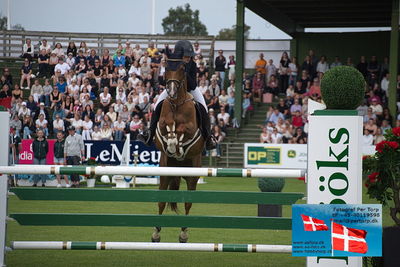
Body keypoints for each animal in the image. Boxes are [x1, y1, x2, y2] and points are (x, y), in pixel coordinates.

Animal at [152, 59, 205, 244]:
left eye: (183, 69)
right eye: (166, 68)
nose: (172, 92)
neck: (177, 104)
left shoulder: (191, 127)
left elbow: (182, 128)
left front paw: (176, 143)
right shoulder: (161, 123)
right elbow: (167, 124)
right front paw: (171, 142)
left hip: (192, 175)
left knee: (188, 203)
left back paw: (183, 234)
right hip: (165, 172)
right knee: (161, 201)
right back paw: (156, 233)